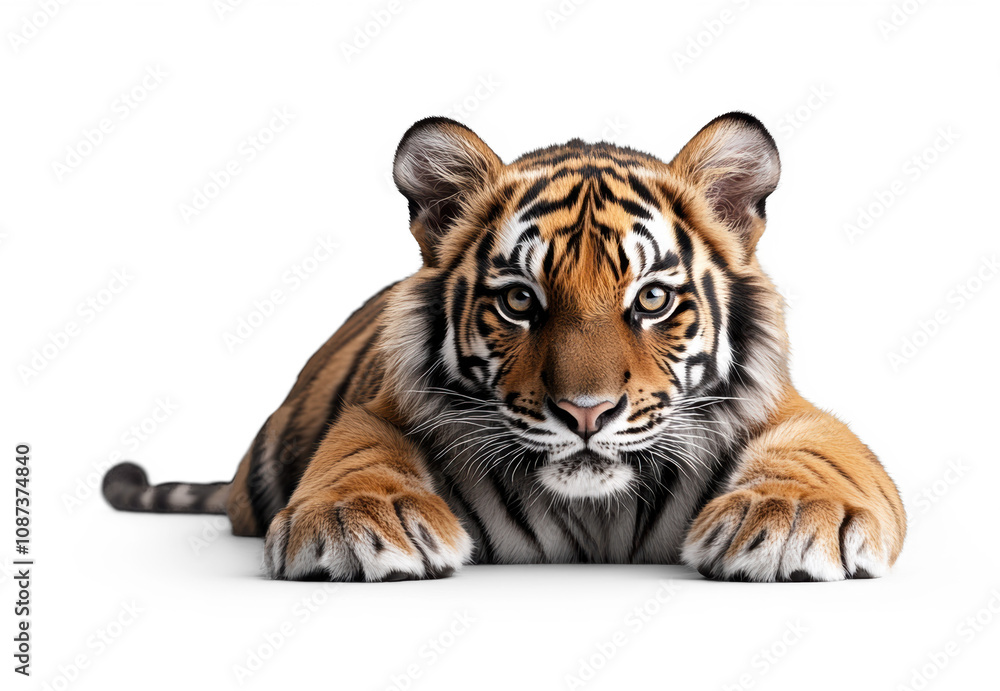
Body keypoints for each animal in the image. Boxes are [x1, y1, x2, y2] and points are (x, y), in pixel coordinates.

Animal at [103, 112, 906, 582]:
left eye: (650, 299)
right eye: (520, 301)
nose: (587, 414)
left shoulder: (791, 411)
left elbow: (818, 450)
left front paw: (790, 518)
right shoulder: (381, 410)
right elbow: (361, 449)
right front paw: (354, 521)